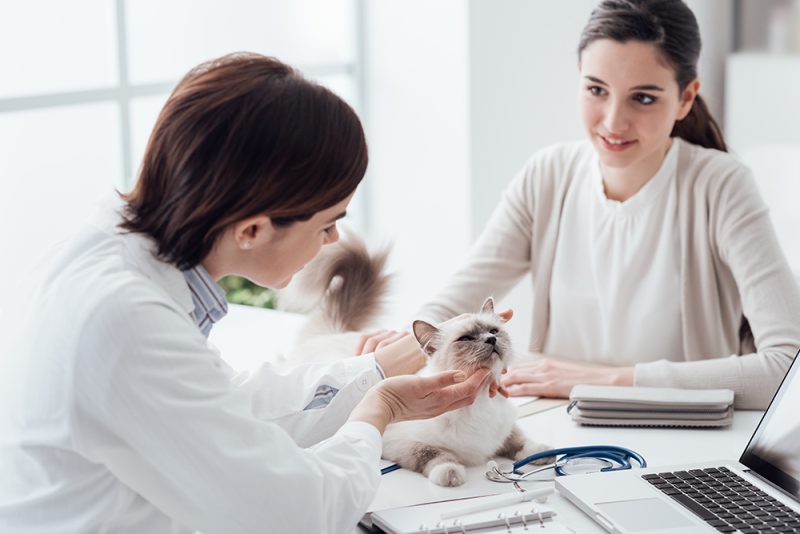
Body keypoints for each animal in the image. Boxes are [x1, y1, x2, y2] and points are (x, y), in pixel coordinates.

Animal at [382, 298, 552, 490]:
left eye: (493, 331)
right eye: (465, 338)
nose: (491, 339)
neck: (481, 399)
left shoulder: (507, 428)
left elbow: (519, 440)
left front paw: (540, 453)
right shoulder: (398, 441)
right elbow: (432, 454)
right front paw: (450, 472)